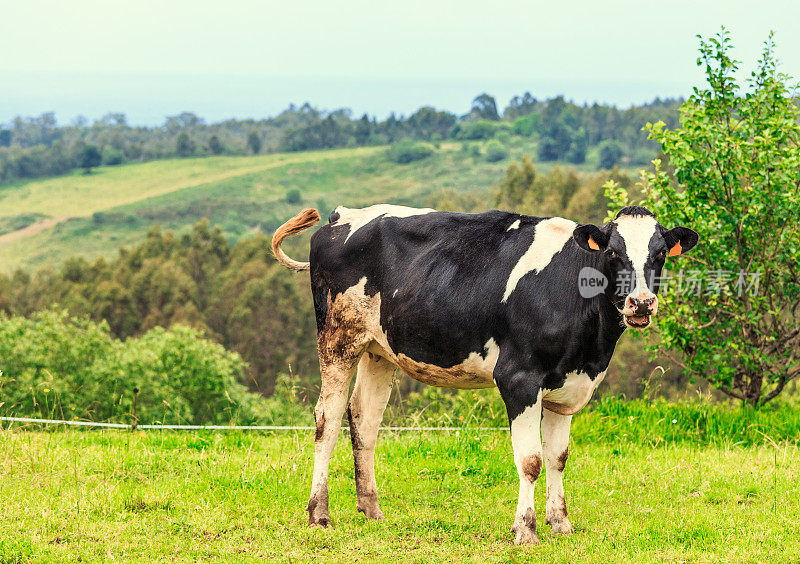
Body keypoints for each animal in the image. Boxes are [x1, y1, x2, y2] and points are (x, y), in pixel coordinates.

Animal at [272, 203, 696, 540]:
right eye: (612, 251)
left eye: (660, 253)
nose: (641, 303)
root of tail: (341, 216)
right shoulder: (519, 378)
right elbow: (531, 460)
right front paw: (525, 531)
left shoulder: (568, 386)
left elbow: (558, 457)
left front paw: (561, 524)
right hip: (338, 337)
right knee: (327, 419)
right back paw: (319, 514)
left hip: (379, 349)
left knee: (364, 420)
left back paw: (372, 510)